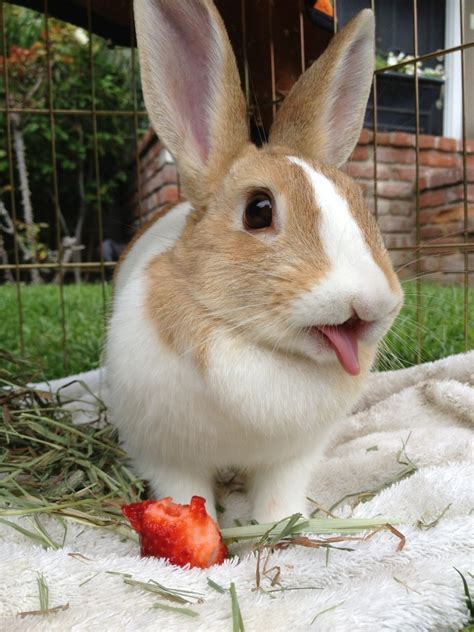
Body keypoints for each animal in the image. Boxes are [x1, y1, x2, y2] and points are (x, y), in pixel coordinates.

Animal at [108, 0, 404, 524]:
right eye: (258, 210)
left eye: (359, 201)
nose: (373, 302)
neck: (253, 345)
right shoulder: (166, 455)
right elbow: (183, 492)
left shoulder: (291, 458)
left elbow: (279, 494)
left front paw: (281, 525)